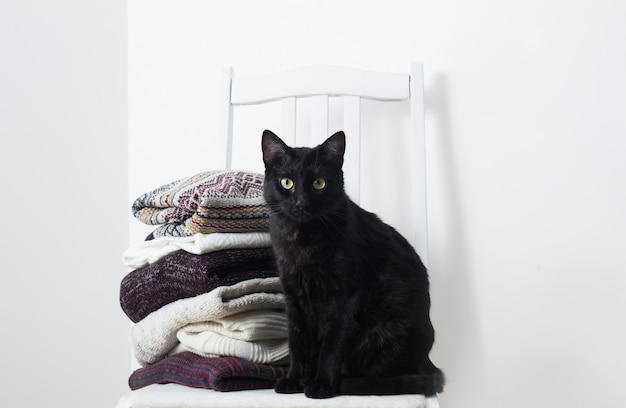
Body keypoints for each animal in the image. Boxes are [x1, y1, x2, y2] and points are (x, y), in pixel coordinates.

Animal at [260, 129, 442, 396]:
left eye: (319, 183)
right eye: (286, 182)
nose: (301, 203)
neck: (304, 240)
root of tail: (427, 360)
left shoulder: (345, 297)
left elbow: (332, 345)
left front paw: (322, 385)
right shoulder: (293, 295)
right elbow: (297, 342)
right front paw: (293, 380)